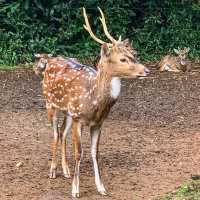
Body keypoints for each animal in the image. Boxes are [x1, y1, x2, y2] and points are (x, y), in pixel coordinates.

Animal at [39, 7, 150, 197]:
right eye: (123, 59)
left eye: (134, 54)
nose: (147, 70)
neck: (95, 103)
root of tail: (50, 60)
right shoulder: (79, 119)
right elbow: (79, 153)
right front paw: (75, 190)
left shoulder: (98, 123)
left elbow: (94, 153)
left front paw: (101, 187)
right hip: (50, 103)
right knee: (54, 133)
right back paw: (53, 171)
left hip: (68, 112)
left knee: (62, 132)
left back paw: (66, 171)